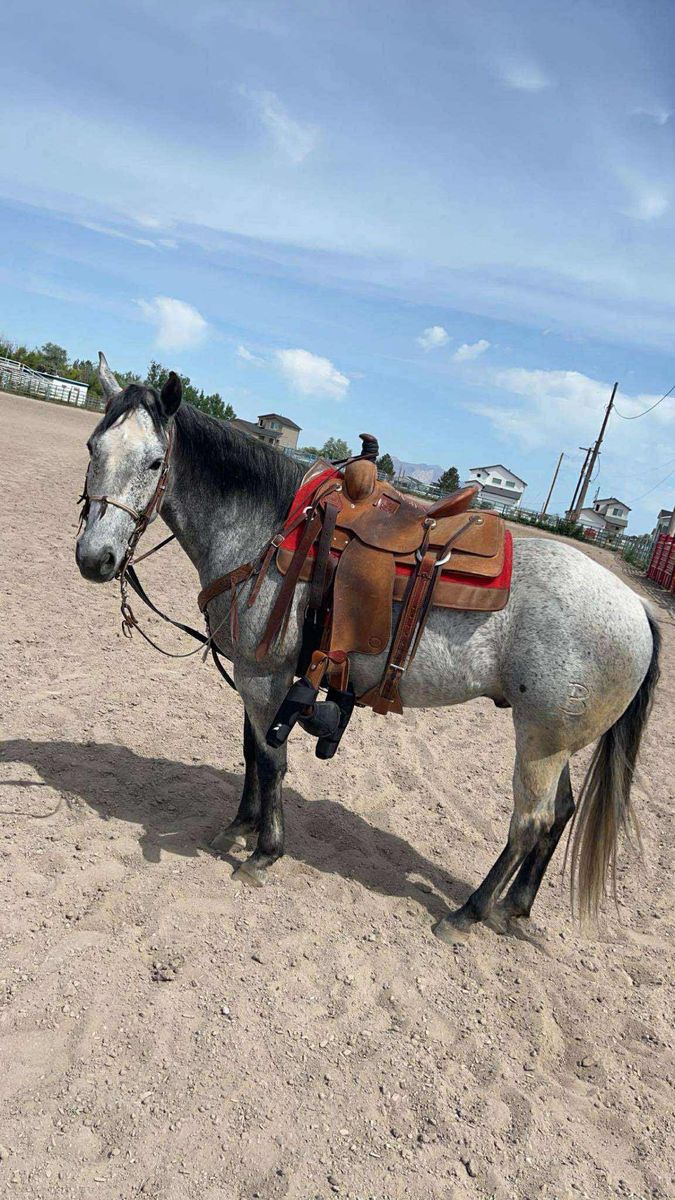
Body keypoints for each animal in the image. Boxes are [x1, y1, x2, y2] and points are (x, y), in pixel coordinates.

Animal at [75, 356, 660, 942]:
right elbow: (251, 752)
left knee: (530, 821)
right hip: (560, 741)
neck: (266, 530)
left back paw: (466, 913)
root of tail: (637, 608)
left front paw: (264, 852)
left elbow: (272, 761)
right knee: (561, 812)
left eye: (155, 461)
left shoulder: (263, 677)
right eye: (92, 448)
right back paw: (514, 907)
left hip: (540, 739)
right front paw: (239, 827)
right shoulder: (257, 673)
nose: (94, 558)